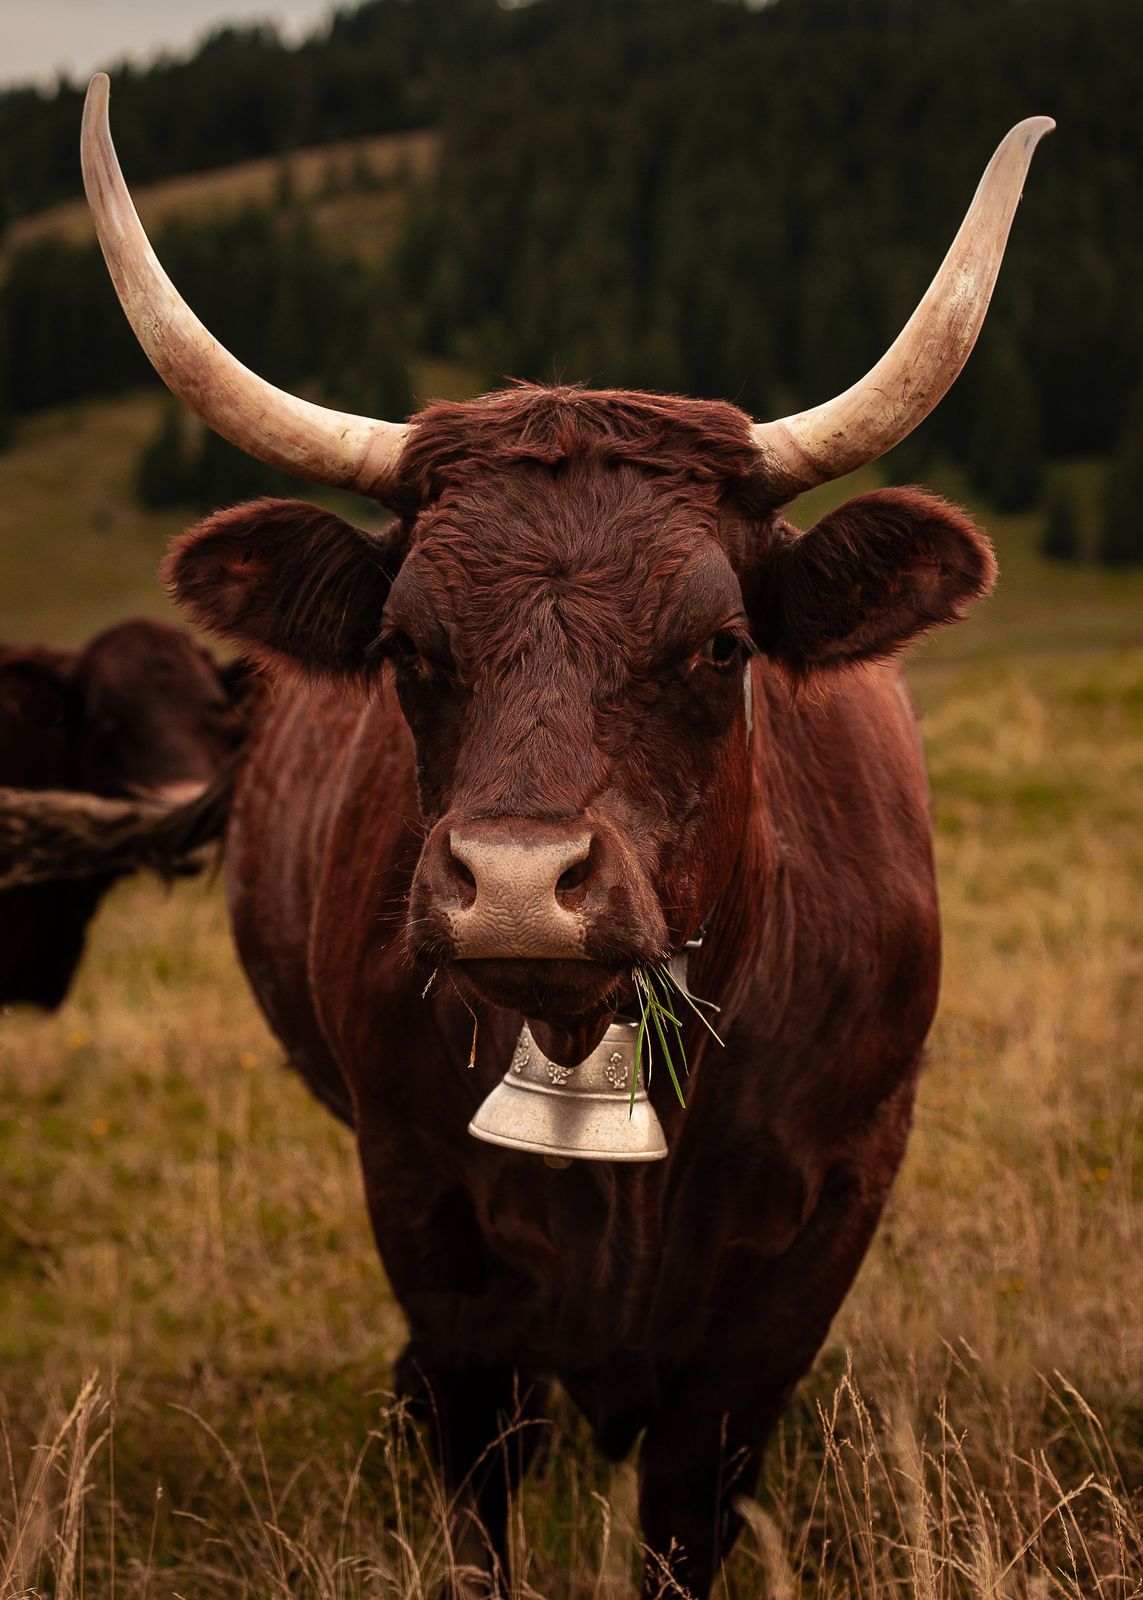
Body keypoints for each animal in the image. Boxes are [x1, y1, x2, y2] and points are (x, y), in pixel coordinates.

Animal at [82, 73, 1051, 1598]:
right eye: (406, 646)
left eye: (720, 644)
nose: (519, 888)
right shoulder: (423, 1209)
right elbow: (479, 1473)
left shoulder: (817, 1227)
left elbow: (689, 1500)